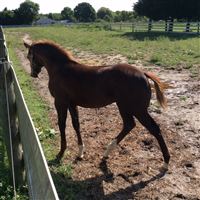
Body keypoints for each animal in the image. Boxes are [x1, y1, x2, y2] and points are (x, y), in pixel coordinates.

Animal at [23, 39, 170, 171]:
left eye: (29, 56)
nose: (33, 74)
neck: (60, 69)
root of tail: (143, 74)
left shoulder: (60, 102)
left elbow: (62, 124)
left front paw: (61, 153)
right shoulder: (72, 104)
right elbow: (76, 124)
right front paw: (80, 152)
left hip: (136, 109)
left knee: (153, 129)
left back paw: (165, 163)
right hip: (126, 107)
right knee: (130, 125)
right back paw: (107, 153)